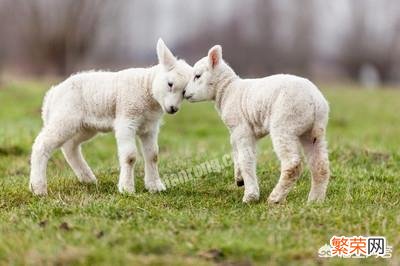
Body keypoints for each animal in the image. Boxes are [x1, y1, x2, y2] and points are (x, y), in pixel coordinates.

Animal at [29, 38, 192, 194]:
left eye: (184, 92)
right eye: (170, 84)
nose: (173, 108)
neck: (146, 88)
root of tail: (52, 94)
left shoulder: (150, 127)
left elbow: (153, 155)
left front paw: (155, 186)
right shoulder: (127, 120)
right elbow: (130, 156)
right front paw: (126, 189)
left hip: (85, 126)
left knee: (70, 147)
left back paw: (88, 179)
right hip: (65, 117)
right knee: (42, 144)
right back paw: (38, 188)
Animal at [183, 45, 330, 204]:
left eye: (197, 76)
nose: (184, 92)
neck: (227, 90)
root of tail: (315, 100)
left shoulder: (241, 128)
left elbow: (246, 159)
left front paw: (250, 196)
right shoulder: (237, 132)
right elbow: (236, 152)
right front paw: (239, 178)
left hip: (285, 124)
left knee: (293, 165)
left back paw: (275, 198)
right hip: (312, 132)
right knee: (320, 165)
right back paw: (315, 200)